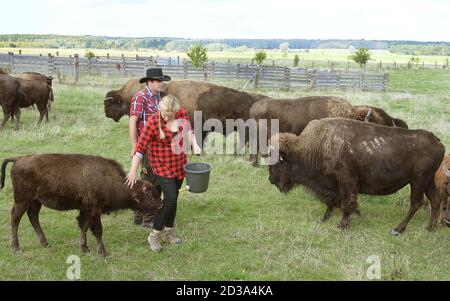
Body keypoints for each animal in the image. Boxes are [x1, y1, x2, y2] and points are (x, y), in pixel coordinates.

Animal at [0, 155, 163, 255]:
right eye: (149, 195)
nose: (161, 204)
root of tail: (19, 159)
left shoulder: (85, 210)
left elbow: (83, 226)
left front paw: (84, 248)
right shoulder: (95, 210)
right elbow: (97, 230)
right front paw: (102, 252)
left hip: (35, 201)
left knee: (33, 216)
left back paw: (45, 243)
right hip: (22, 199)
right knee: (15, 218)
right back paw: (16, 248)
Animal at [266, 117, 444, 232]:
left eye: (278, 161)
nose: (271, 179)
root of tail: (437, 141)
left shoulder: (348, 182)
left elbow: (346, 203)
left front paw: (342, 224)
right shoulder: (333, 186)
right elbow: (331, 202)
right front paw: (324, 219)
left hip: (418, 181)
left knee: (416, 202)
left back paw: (398, 229)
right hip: (428, 181)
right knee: (435, 200)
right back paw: (430, 228)